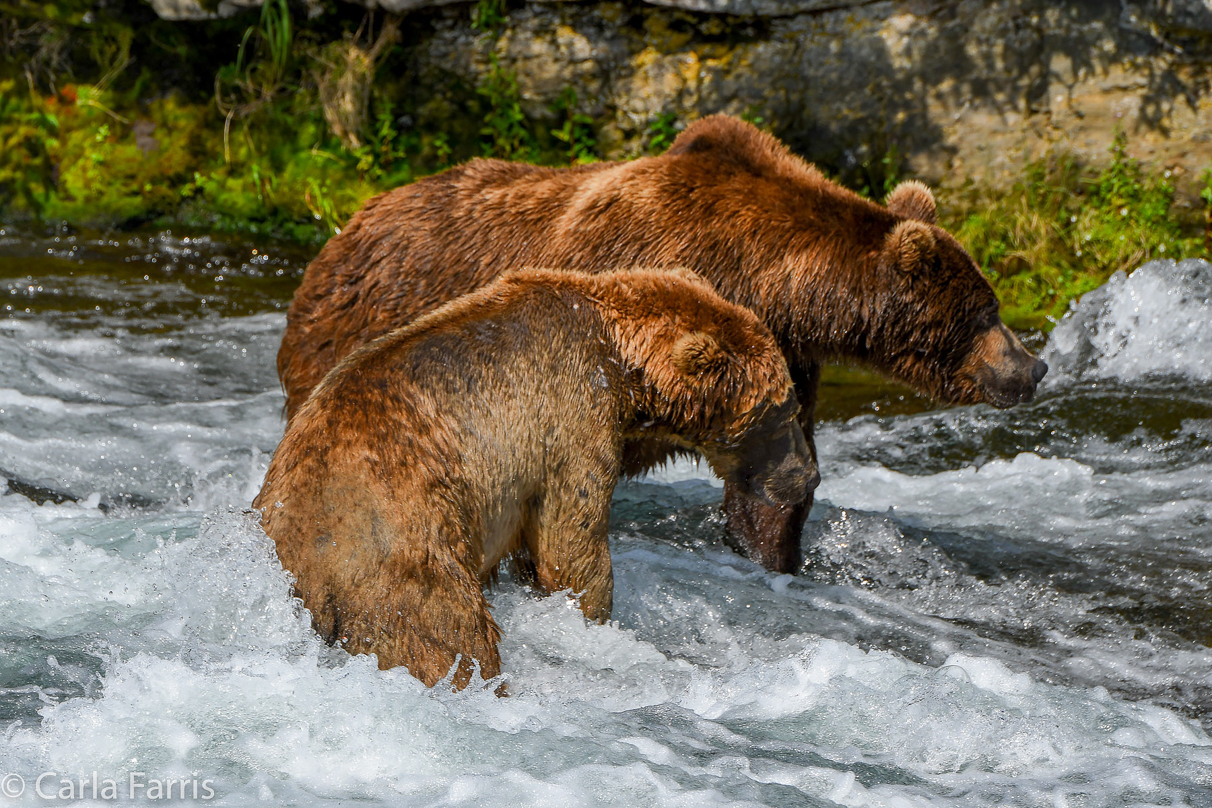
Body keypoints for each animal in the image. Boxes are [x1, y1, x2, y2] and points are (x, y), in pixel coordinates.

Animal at [252, 268, 819, 692]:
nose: (808, 475)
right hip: (403, 550)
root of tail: (306, 567)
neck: (623, 363)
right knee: (448, 636)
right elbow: (571, 543)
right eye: (781, 410)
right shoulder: (570, 419)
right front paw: (592, 617)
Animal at [272, 116, 1042, 579]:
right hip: (352, 339)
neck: (772, 280)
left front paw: (775, 550)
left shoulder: (778, 363)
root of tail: (343, 229)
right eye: (988, 311)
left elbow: (776, 470)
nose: (1033, 368)